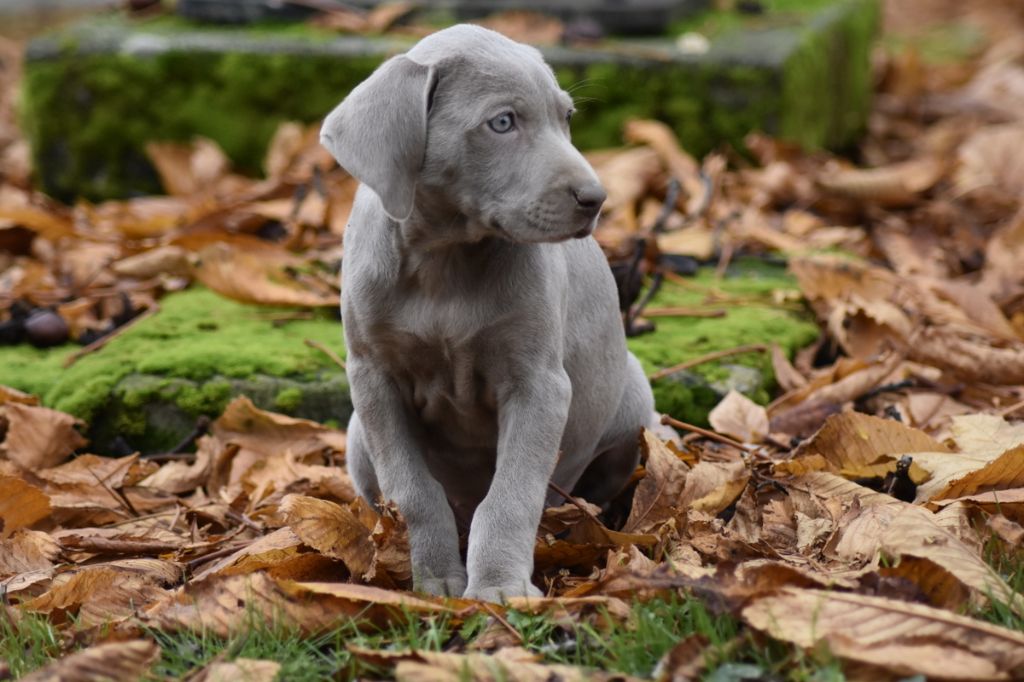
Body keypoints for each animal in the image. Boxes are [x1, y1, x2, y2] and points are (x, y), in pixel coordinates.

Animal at [319, 22, 655, 602]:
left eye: (566, 117)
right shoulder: (373, 378)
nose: (596, 198)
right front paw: (435, 578)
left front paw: (499, 586)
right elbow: (413, 489)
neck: (445, 262)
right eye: (502, 122)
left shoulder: (539, 384)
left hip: (632, 404)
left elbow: (510, 494)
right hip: (358, 436)